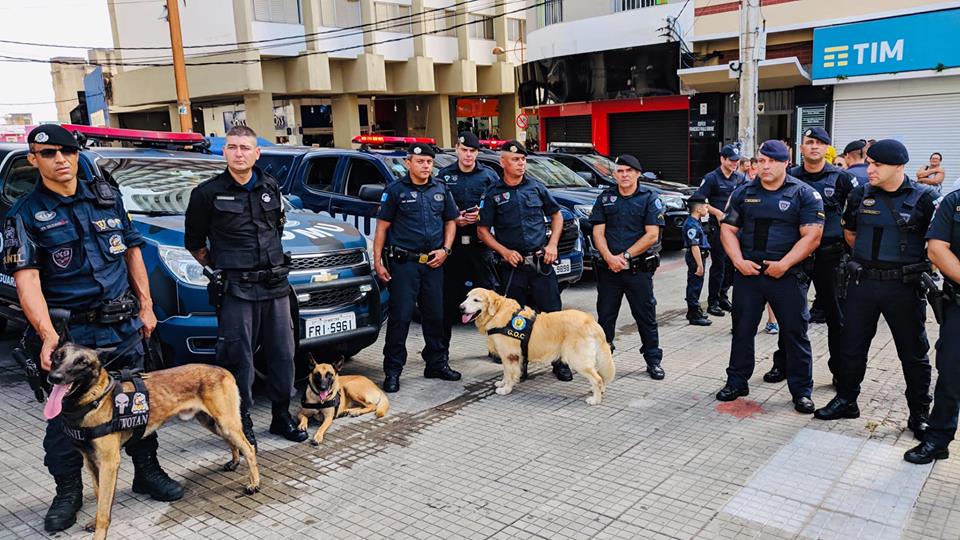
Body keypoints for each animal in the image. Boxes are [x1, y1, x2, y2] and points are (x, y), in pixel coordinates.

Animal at [46, 344, 258, 536]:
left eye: (82, 362)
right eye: (57, 356)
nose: (54, 377)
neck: (95, 398)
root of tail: (222, 369)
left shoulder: (108, 463)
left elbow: (104, 509)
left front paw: (99, 533)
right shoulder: (92, 463)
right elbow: (100, 498)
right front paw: (94, 520)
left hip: (225, 423)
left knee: (249, 448)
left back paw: (254, 483)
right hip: (213, 423)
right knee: (233, 442)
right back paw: (234, 461)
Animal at [460, 288, 616, 402]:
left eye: (476, 300)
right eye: (466, 297)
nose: (461, 307)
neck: (497, 313)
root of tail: (591, 321)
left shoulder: (510, 355)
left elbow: (510, 374)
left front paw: (506, 389)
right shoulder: (507, 356)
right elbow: (505, 372)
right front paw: (502, 383)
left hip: (578, 359)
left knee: (597, 378)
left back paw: (595, 399)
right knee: (599, 376)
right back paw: (598, 391)